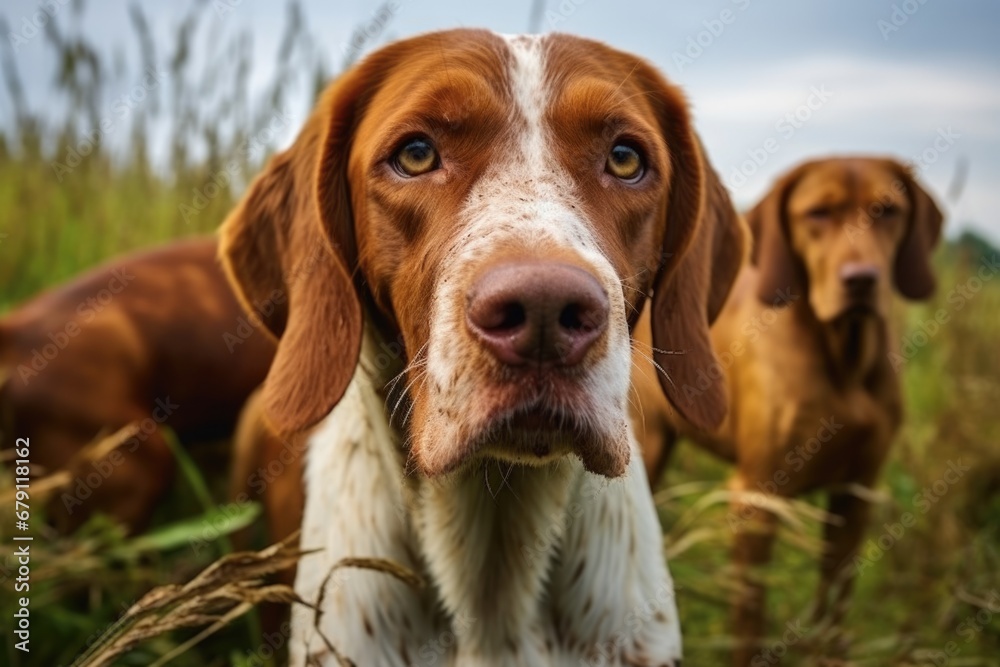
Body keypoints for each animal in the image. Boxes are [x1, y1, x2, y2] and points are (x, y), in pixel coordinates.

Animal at [636, 158, 940, 667]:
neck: (844, 359)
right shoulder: (756, 499)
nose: (862, 279)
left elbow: (834, 605)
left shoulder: (855, 496)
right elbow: (749, 619)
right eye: (817, 213)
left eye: (887, 210)